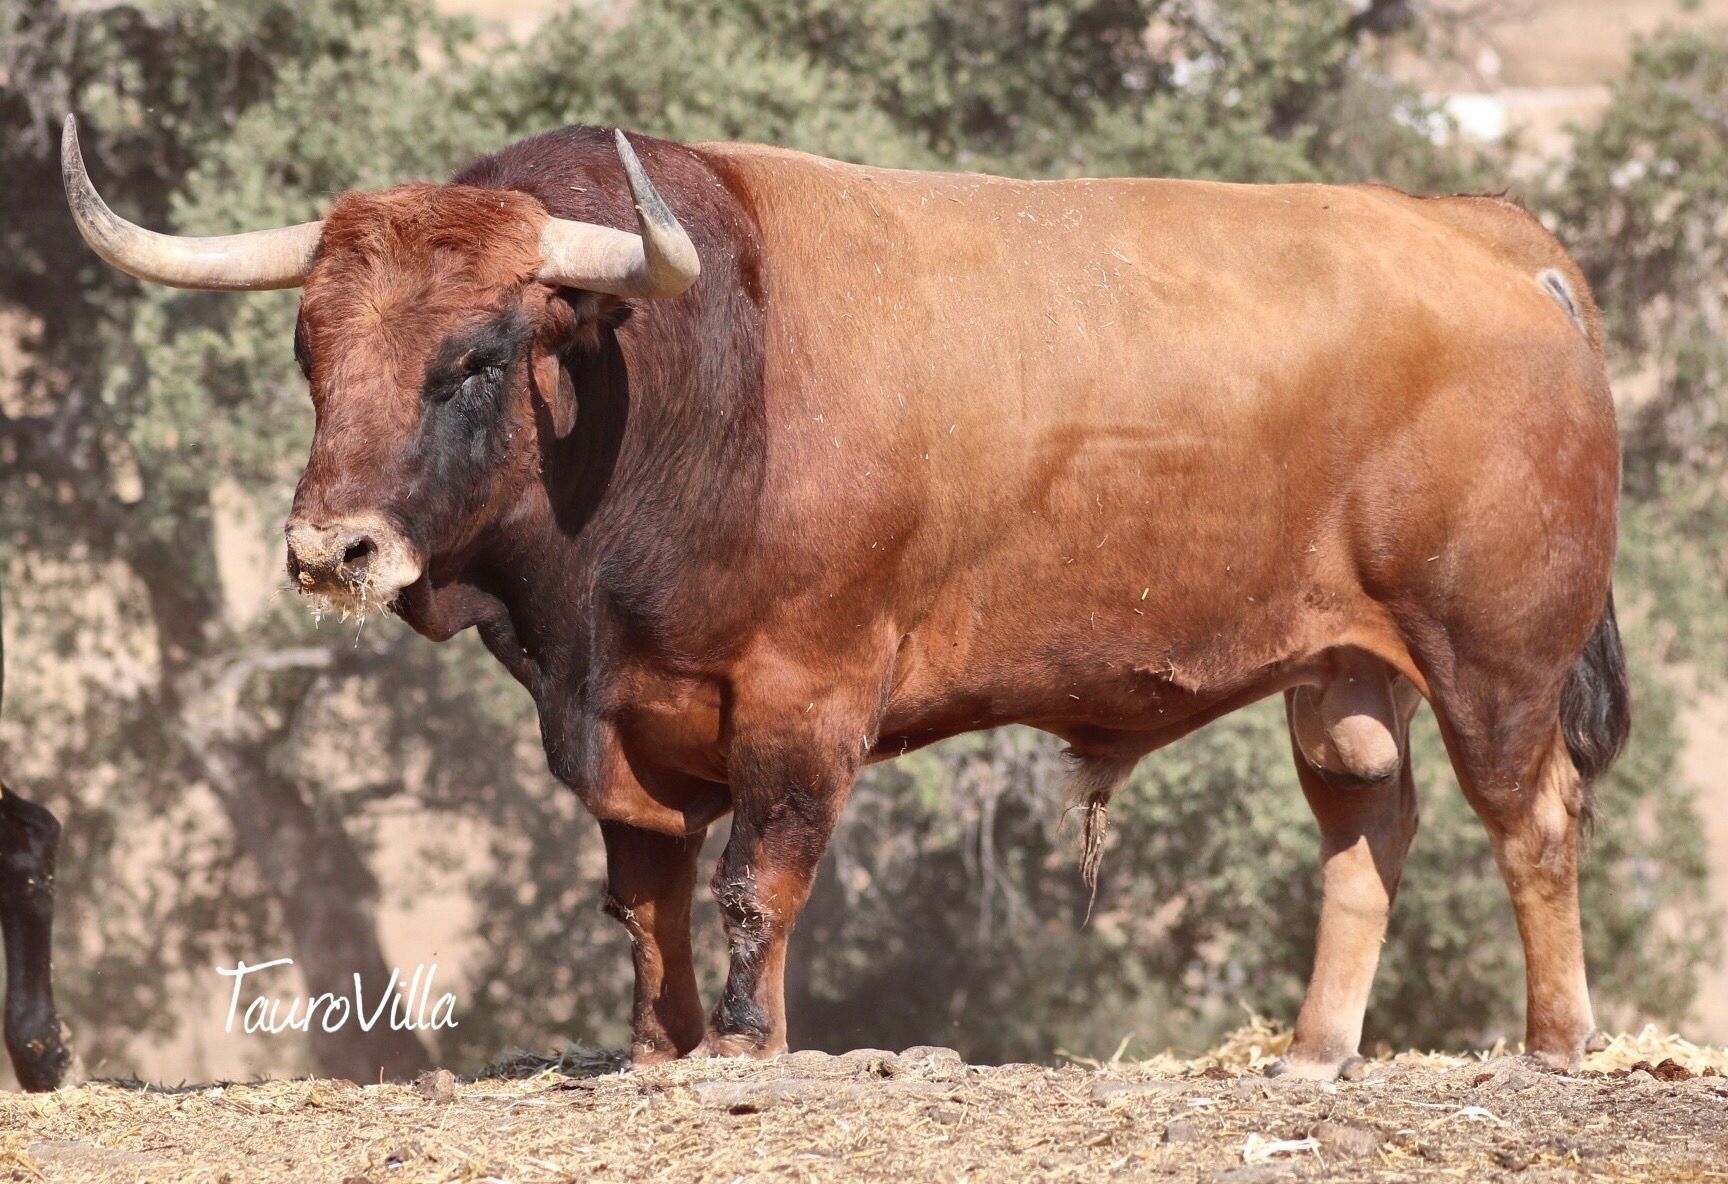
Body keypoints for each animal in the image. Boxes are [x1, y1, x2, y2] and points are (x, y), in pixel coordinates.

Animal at [63, 115, 1631, 1078]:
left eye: (474, 357)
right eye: (310, 348)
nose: (331, 550)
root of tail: (1491, 234)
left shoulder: (804, 697)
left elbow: (757, 884)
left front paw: (746, 1043)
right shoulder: (619, 726)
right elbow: (646, 895)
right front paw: (660, 1042)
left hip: (1495, 656)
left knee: (1533, 819)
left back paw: (1557, 1040)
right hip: (1343, 669)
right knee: (1369, 824)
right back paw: (1313, 1052)